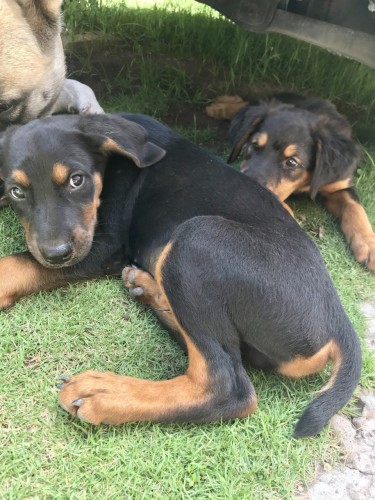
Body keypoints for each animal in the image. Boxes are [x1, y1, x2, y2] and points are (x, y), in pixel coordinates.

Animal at [0, 111, 364, 436]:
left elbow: (15, 264)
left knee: (226, 385)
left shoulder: (103, 246)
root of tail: (337, 320)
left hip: (196, 238)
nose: (56, 254)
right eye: (17, 191)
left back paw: (107, 393)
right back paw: (149, 290)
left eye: (77, 180)